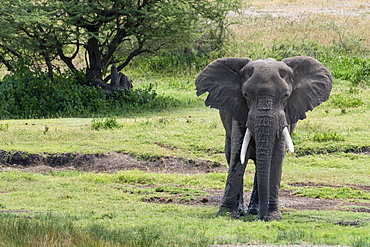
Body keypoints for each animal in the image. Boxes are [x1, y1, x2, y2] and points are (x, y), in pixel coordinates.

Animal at [197, 56, 332, 220]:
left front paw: (273, 216)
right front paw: (227, 214)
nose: (261, 218)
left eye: (286, 95)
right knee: (231, 154)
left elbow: (276, 156)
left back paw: (255, 210)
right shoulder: (239, 111)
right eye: (245, 95)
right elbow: (238, 156)